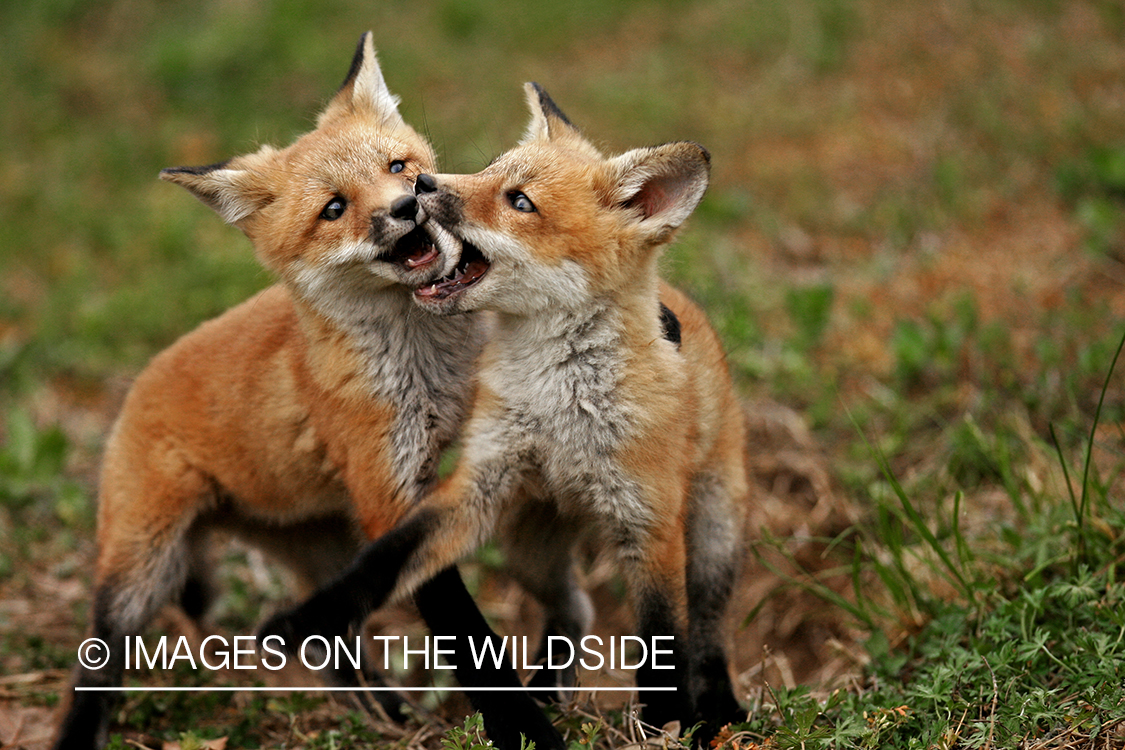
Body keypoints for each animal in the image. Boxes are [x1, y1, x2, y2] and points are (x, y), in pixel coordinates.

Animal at [54, 34, 562, 750]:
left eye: (399, 166)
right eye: (334, 209)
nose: (406, 205)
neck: (433, 365)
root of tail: (136, 383)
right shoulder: (388, 494)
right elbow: (463, 631)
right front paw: (521, 728)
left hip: (322, 549)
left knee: (330, 640)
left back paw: (385, 713)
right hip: (142, 569)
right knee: (95, 661)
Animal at [258, 82, 749, 741]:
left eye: (519, 201)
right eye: (489, 168)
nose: (422, 185)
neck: (558, 409)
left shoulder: (647, 520)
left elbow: (664, 645)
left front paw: (667, 728)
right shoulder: (479, 482)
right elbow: (386, 560)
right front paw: (307, 619)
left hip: (713, 533)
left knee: (708, 628)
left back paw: (719, 706)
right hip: (529, 554)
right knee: (573, 606)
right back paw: (547, 689)